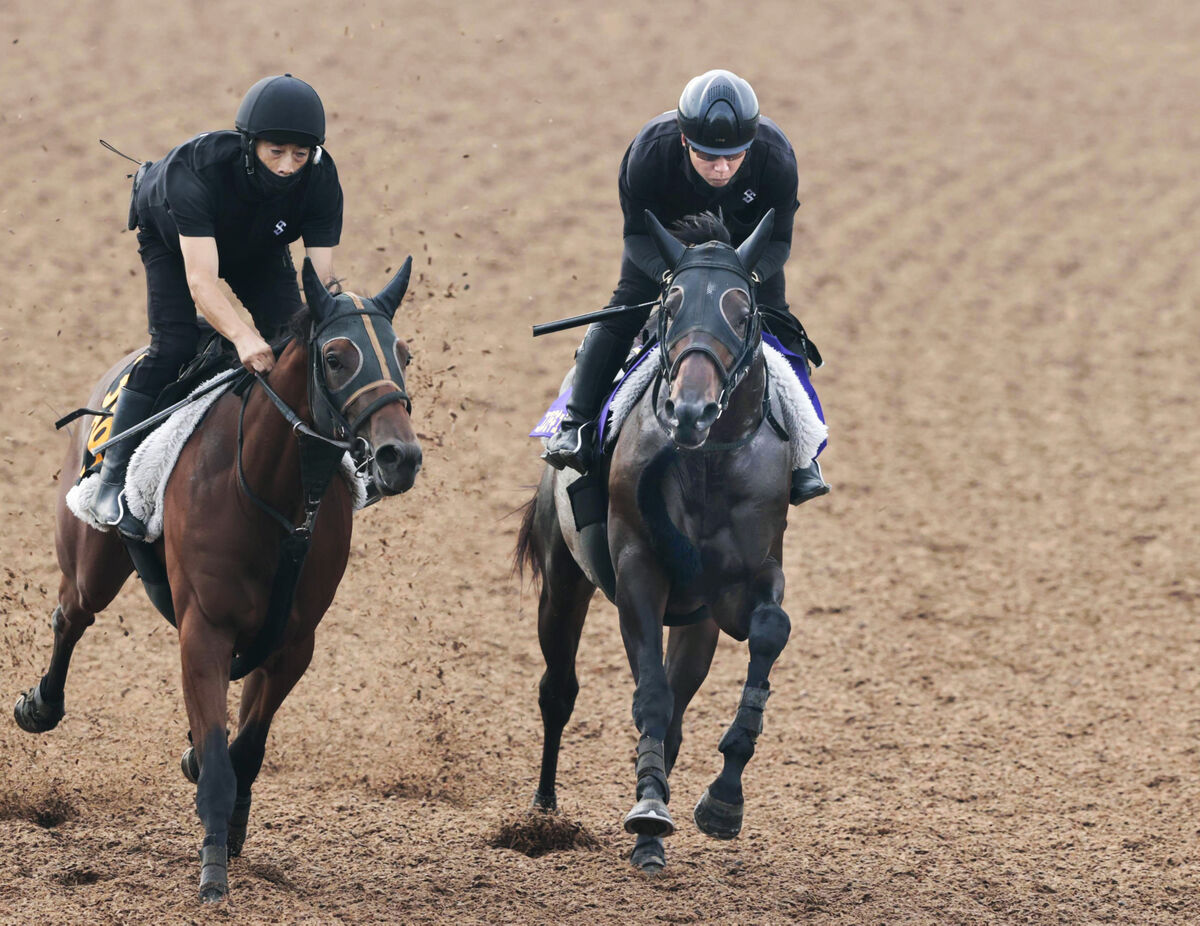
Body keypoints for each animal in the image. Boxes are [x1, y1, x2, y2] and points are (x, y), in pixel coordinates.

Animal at [14, 256, 422, 902]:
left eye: (402, 353)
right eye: (336, 357)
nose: (398, 457)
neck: (273, 494)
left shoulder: (291, 642)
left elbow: (246, 750)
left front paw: (229, 832)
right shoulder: (204, 629)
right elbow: (217, 754)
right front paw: (212, 871)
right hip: (90, 563)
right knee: (71, 616)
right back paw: (40, 704)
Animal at [516, 211, 796, 873]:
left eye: (741, 312)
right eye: (670, 306)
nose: (691, 410)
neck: (706, 464)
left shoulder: (746, 580)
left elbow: (769, 630)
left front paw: (723, 799)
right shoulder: (639, 569)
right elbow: (649, 694)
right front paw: (647, 807)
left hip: (696, 623)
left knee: (676, 706)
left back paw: (651, 837)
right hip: (564, 580)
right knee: (558, 690)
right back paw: (545, 812)